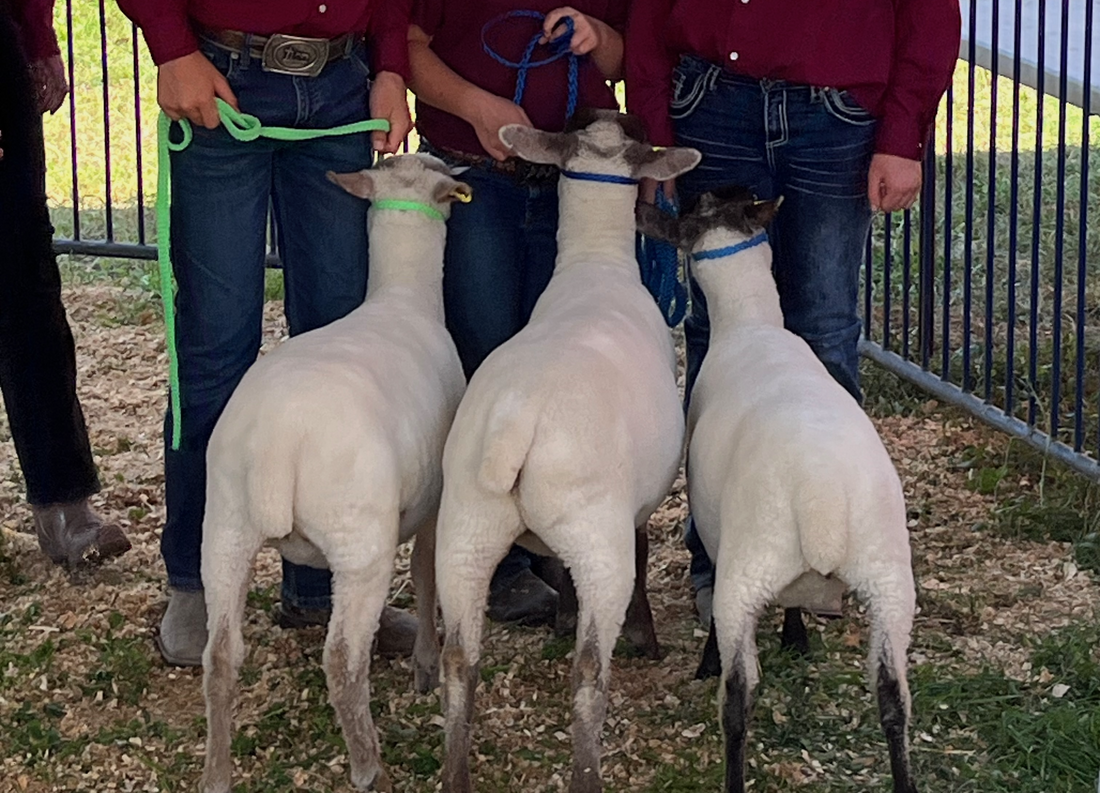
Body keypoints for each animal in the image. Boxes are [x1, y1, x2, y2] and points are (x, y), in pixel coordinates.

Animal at [199, 154, 470, 793]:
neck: (403, 295)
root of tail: (278, 446)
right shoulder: (435, 502)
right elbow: (426, 576)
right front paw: (425, 665)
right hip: (359, 542)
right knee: (343, 660)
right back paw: (370, 767)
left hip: (224, 525)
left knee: (219, 654)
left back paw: (216, 772)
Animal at [434, 108, 701, 793]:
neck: (595, 264)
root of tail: (517, 425)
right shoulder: (636, 508)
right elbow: (643, 551)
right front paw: (645, 638)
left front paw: (558, 615)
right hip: (595, 534)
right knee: (587, 670)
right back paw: (587, 771)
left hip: (465, 528)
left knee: (459, 657)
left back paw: (457, 774)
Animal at [637, 187, 918, 793]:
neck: (750, 321)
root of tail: (822, 503)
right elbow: (796, 602)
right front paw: (798, 635)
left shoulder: (712, 524)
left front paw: (715, 658)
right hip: (890, 582)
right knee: (893, 696)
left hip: (747, 573)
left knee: (738, 699)